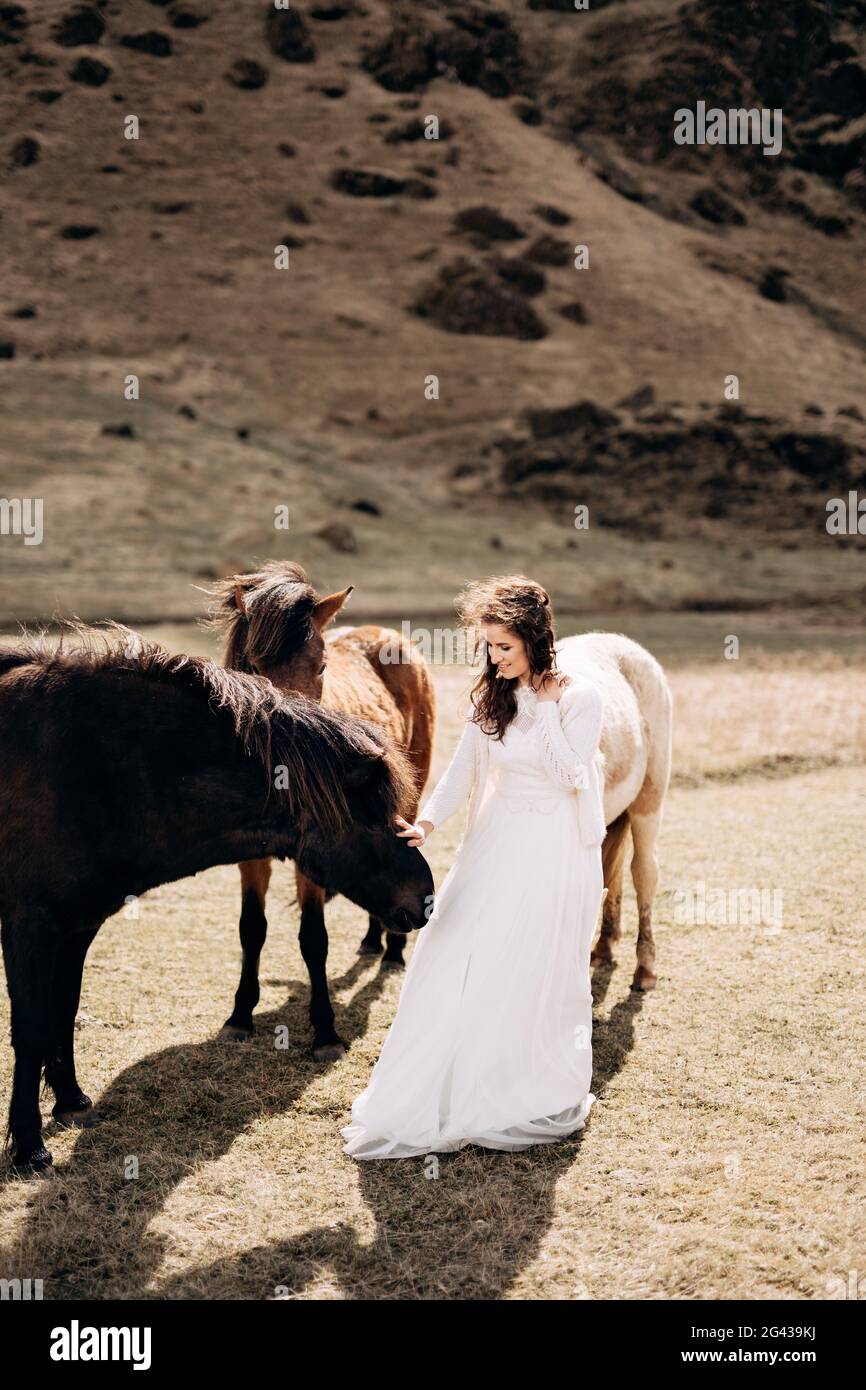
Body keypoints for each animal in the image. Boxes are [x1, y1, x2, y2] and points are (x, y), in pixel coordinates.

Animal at [0, 625, 433, 1167]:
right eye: (371, 819)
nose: (426, 896)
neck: (91, 764)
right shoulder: (30, 923)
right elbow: (32, 1027)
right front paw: (29, 1145)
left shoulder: (77, 923)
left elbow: (64, 1009)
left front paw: (71, 1101)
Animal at [207, 558, 436, 1056]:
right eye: (254, 666)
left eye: (322, 666)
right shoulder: (249, 856)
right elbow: (251, 928)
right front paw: (239, 1016)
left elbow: (313, 937)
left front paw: (326, 1032)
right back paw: (372, 940)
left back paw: (392, 947)